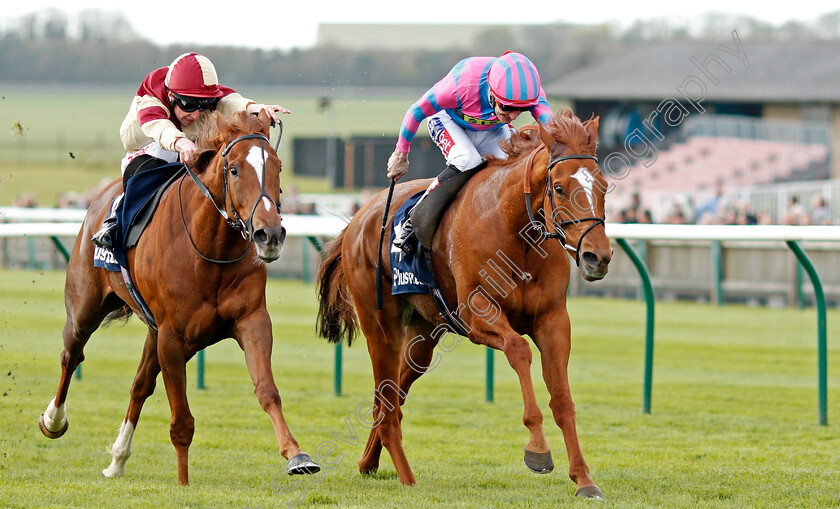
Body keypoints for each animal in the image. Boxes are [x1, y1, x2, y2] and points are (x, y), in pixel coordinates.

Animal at [37, 110, 318, 484]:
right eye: (234, 170)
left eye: (278, 167)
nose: (269, 233)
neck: (209, 250)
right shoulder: (172, 336)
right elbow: (181, 420)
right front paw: (184, 483)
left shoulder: (251, 320)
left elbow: (267, 391)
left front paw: (296, 455)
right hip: (84, 307)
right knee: (71, 354)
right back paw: (53, 420)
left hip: (154, 331)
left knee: (139, 384)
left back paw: (117, 459)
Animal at [318, 108, 612, 500]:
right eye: (560, 188)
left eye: (604, 187)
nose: (598, 257)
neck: (516, 228)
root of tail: (360, 216)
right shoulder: (477, 314)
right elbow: (519, 350)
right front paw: (538, 450)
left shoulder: (553, 320)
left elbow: (563, 399)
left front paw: (584, 479)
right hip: (379, 325)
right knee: (386, 398)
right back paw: (407, 477)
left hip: (422, 336)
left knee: (392, 396)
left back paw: (369, 462)